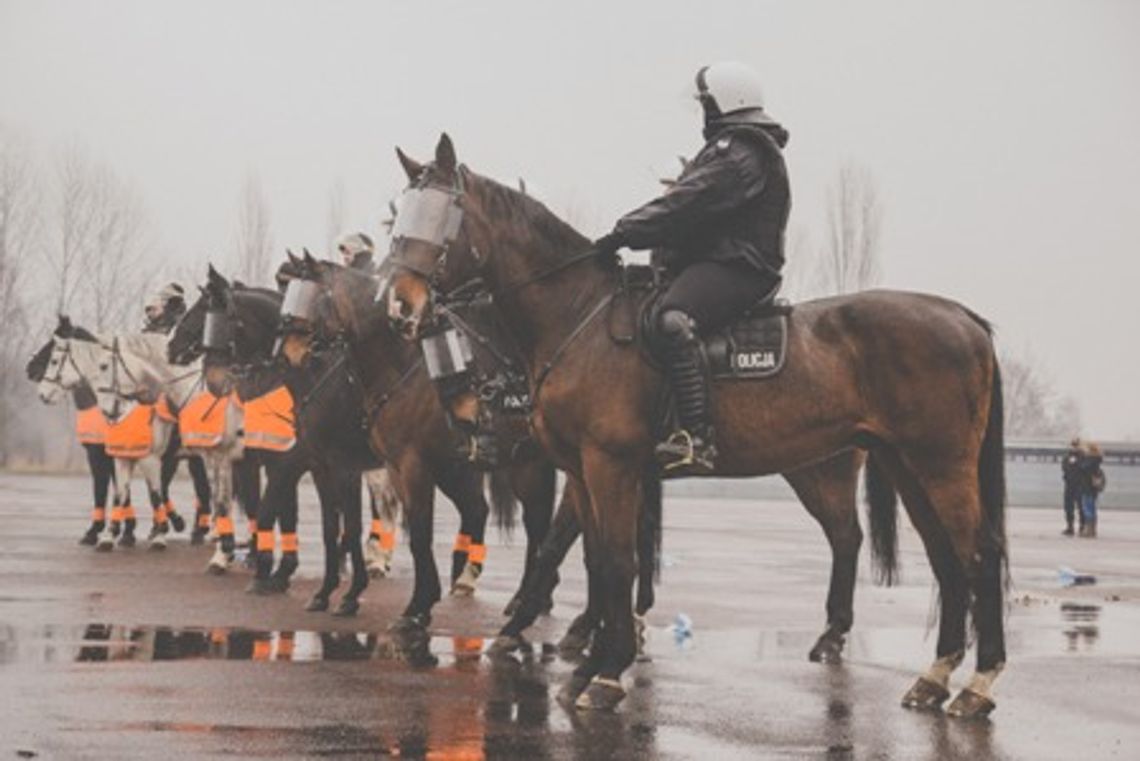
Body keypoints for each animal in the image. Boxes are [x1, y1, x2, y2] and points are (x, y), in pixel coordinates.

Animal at [385, 134, 1007, 719]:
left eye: (443, 213)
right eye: (400, 214)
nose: (400, 304)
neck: (578, 317)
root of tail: (962, 317)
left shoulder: (611, 466)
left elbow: (614, 560)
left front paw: (604, 670)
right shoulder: (583, 473)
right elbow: (596, 561)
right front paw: (589, 659)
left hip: (934, 466)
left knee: (974, 554)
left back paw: (977, 682)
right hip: (906, 466)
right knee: (945, 558)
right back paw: (934, 676)